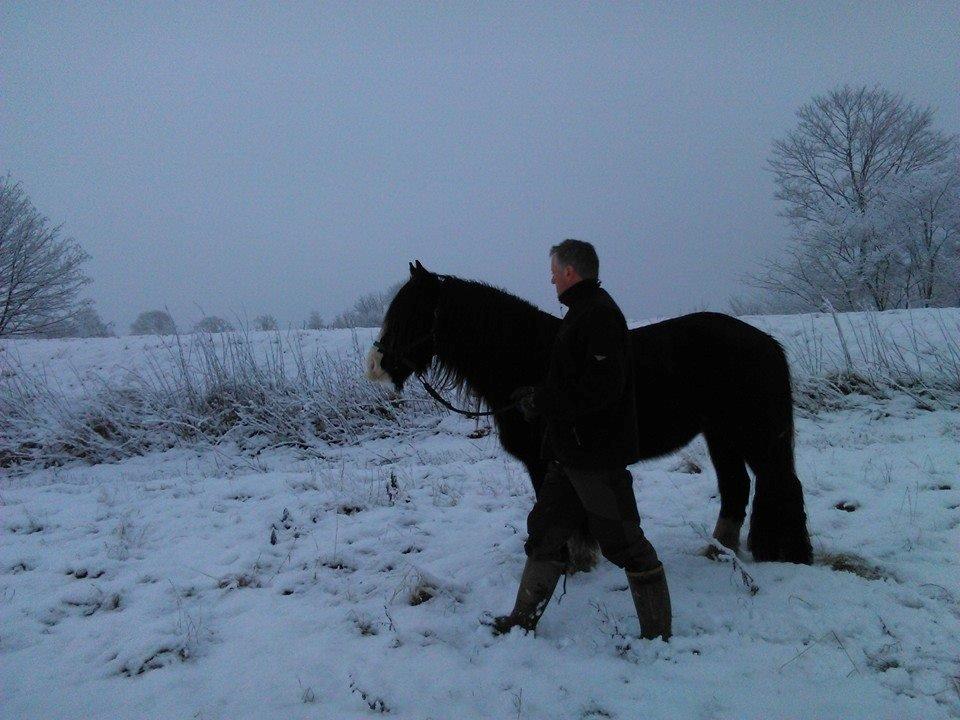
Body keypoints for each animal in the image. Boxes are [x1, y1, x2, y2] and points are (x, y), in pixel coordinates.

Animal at [366, 262, 808, 564]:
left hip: (752, 436)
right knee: (737, 488)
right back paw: (719, 551)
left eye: (410, 315)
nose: (376, 366)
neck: (529, 360)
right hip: (721, 435)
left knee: (779, 483)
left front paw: (571, 561)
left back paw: (785, 552)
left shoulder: (545, 461)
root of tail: (766, 343)